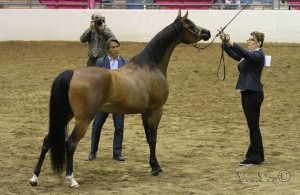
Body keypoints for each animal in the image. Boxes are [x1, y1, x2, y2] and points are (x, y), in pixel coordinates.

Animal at [28, 10, 211, 187]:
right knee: (71, 143)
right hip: (83, 119)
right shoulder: (157, 110)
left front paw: (153, 165)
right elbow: (153, 138)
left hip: (65, 115)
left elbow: (148, 138)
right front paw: (156, 168)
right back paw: (72, 179)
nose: (207, 32)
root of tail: (72, 73)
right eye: (191, 25)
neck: (150, 66)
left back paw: (35, 178)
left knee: (48, 140)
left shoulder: (145, 112)